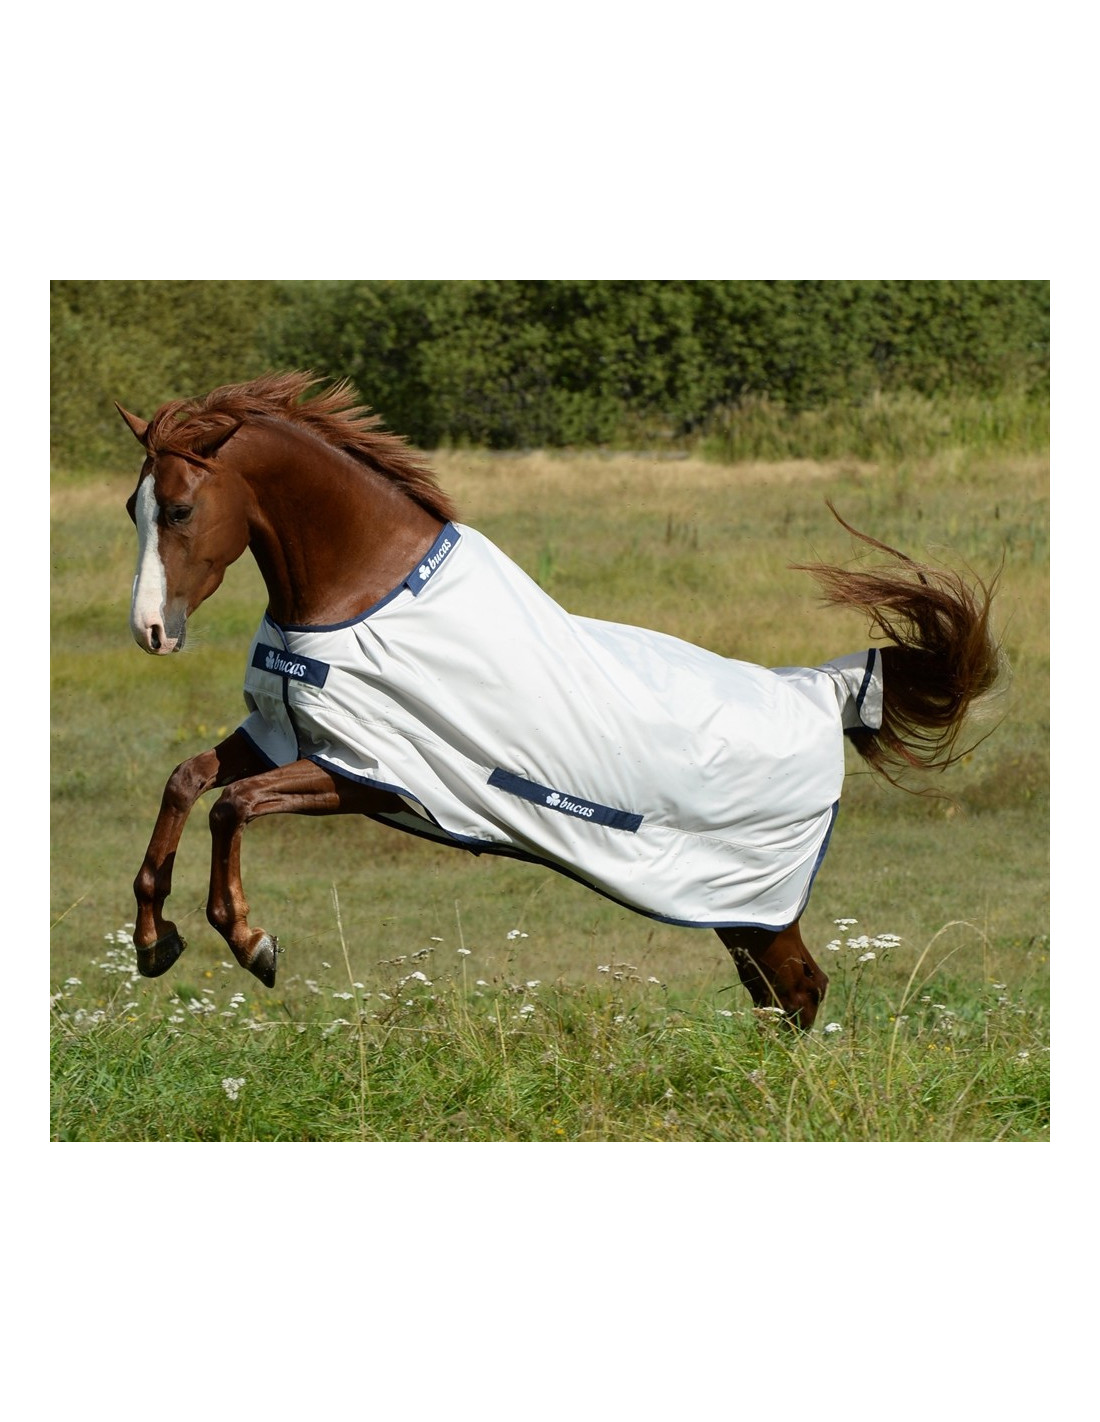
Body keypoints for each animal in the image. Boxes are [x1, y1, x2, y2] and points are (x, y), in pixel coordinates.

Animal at [116, 371, 1001, 1030]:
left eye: (183, 508)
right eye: (134, 509)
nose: (152, 630)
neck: (365, 592)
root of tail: (823, 691)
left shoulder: (368, 774)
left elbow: (232, 807)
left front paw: (252, 944)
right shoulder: (283, 734)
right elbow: (186, 782)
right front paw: (154, 941)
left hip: (754, 903)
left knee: (801, 991)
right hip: (736, 910)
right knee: (785, 993)